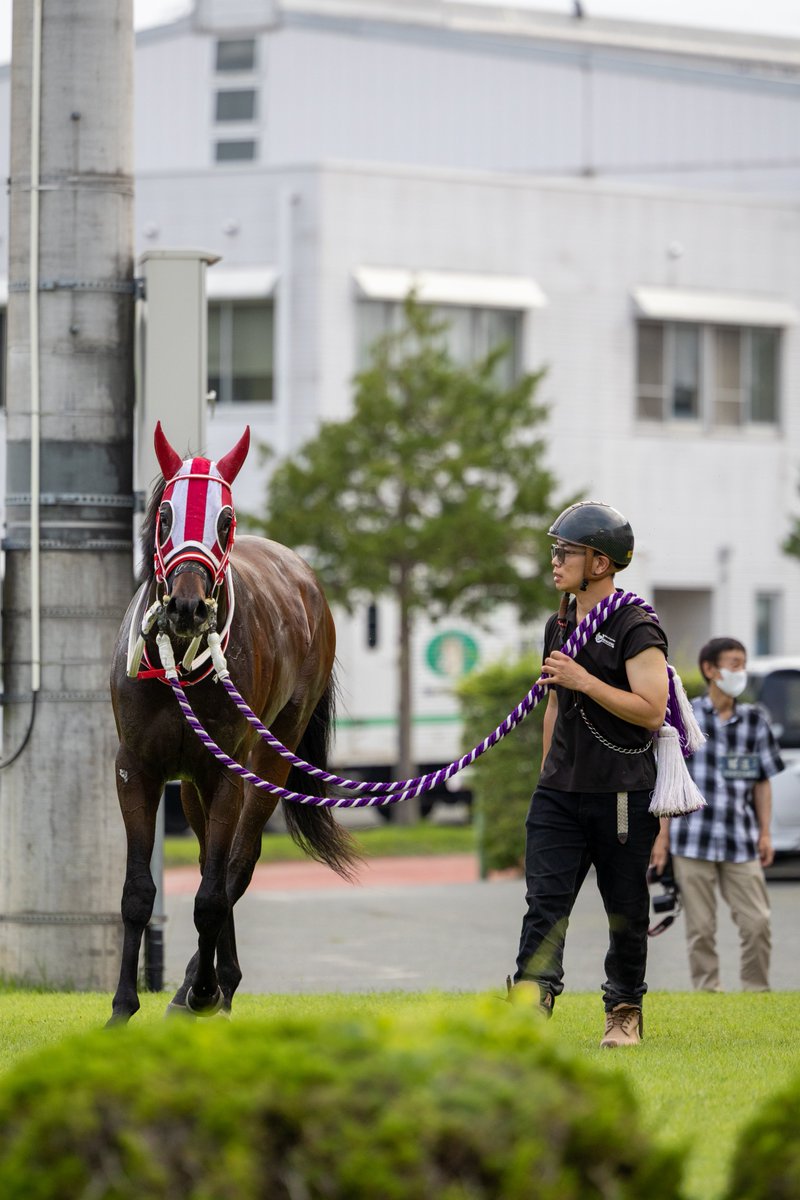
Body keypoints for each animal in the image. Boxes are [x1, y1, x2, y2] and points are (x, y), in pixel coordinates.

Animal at [107, 422, 358, 1025]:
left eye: (224, 520)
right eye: (165, 515)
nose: (188, 607)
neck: (177, 662)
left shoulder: (225, 771)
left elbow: (213, 892)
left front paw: (203, 990)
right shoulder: (136, 768)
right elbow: (138, 891)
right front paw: (123, 1005)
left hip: (269, 754)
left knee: (235, 866)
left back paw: (210, 987)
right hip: (192, 781)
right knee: (208, 860)